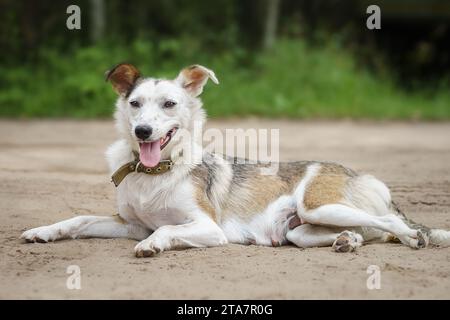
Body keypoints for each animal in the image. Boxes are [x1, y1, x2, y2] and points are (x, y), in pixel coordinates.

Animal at [20, 63, 450, 256]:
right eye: (135, 103)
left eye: (169, 104)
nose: (142, 131)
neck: (155, 172)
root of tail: (362, 175)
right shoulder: (130, 224)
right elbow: (79, 219)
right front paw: (44, 231)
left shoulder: (208, 228)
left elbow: (166, 229)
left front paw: (154, 246)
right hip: (301, 229)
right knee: (362, 232)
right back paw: (348, 241)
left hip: (320, 204)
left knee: (390, 222)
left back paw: (413, 236)